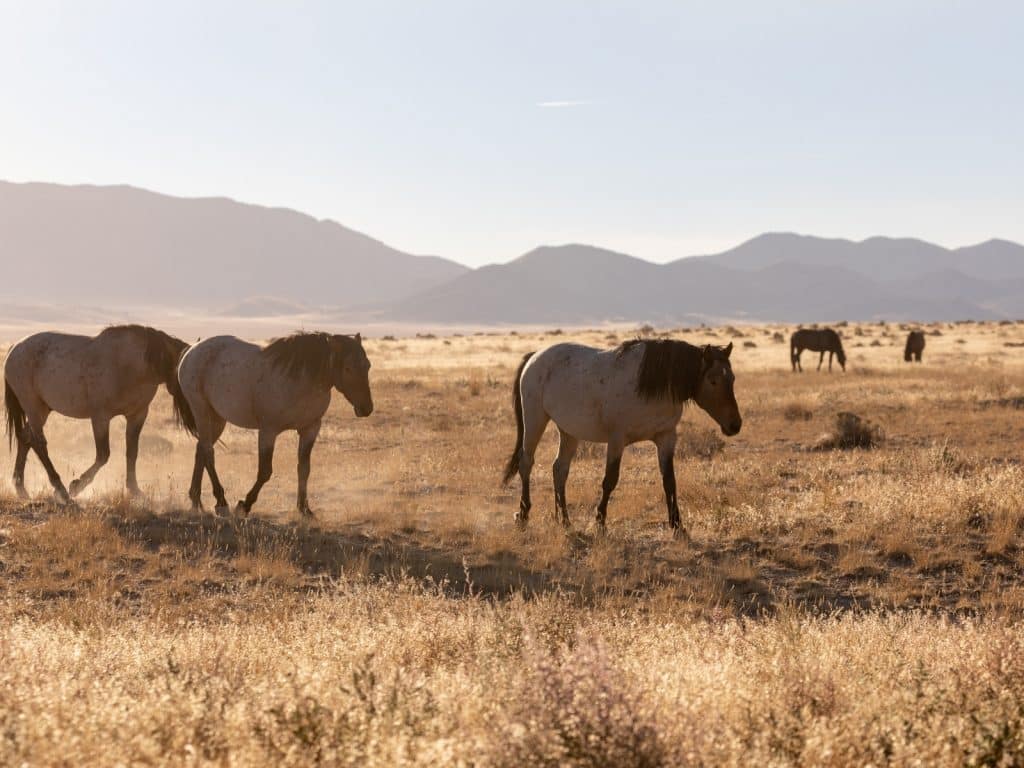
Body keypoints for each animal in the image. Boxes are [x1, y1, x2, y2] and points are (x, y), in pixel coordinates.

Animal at [3, 325, 192, 501]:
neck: (131, 364)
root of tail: (14, 349)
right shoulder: (100, 417)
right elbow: (103, 455)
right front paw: (77, 485)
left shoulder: (137, 415)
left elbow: (132, 452)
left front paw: (134, 490)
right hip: (33, 407)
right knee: (38, 443)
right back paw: (60, 488)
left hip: (43, 409)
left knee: (25, 438)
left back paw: (21, 488)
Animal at [178, 331, 374, 518]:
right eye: (348, 368)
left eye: (367, 365)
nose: (367, 408)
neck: (301, 380)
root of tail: (192, 349)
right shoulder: (268, 431)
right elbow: (265, 472)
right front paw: (244, 505)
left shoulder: (310, 429)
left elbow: (304, 469)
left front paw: (304, 509)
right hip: (202, 411)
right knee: (208, 453)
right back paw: (221, 502)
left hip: (217, 418)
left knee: (201, 450)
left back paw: (196, 501)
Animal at [499, 342, 741, 536]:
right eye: (712, 381)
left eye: (732, 378)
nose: (735, 425)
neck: (652, 384)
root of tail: (534, 356)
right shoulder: (617, 440)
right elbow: (610, 480)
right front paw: (600, 523)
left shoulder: (666, 437)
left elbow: (669, 481)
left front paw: (677, 525)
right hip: (535, 420)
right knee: (526, 463)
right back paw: (523, 514)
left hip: (568, 431)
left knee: (559, 469)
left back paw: (565, 521)